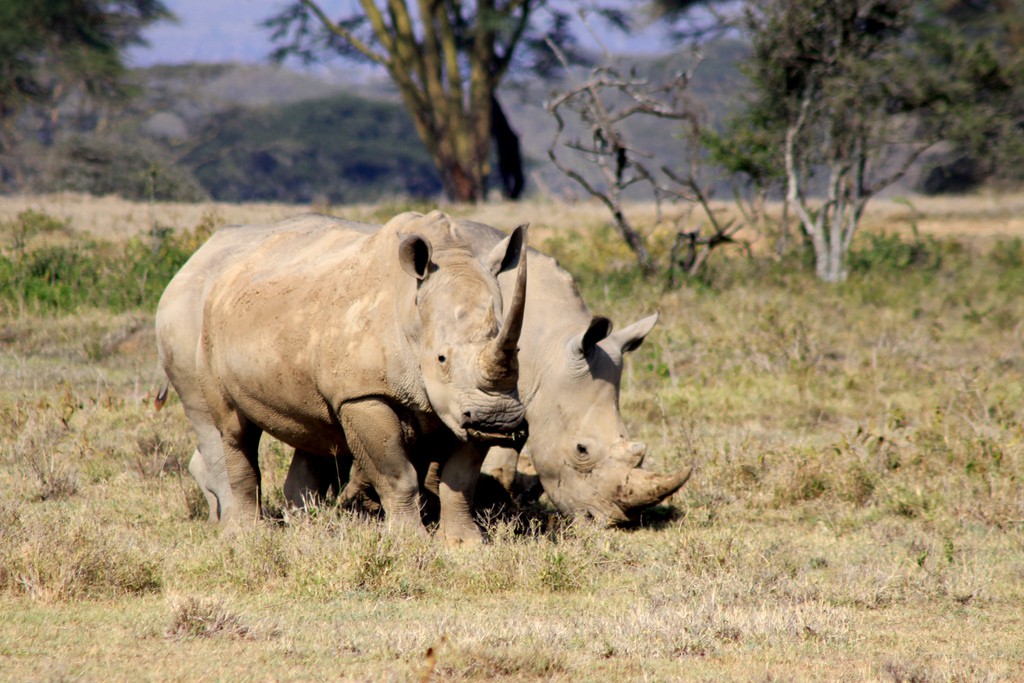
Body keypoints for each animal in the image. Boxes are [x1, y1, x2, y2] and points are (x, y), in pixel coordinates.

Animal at [159, 210, 532, 540]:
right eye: (441, 358)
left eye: (517, 352)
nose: (498, 419)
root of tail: (222, 268)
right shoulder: (363, 395)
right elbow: (397, 475)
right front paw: (410, 542)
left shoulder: (461, 408)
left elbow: (461, 479)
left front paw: (465, 544)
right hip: (204, 334)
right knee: (232, 430)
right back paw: (246, 536)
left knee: (313, 432)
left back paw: (309, 532)